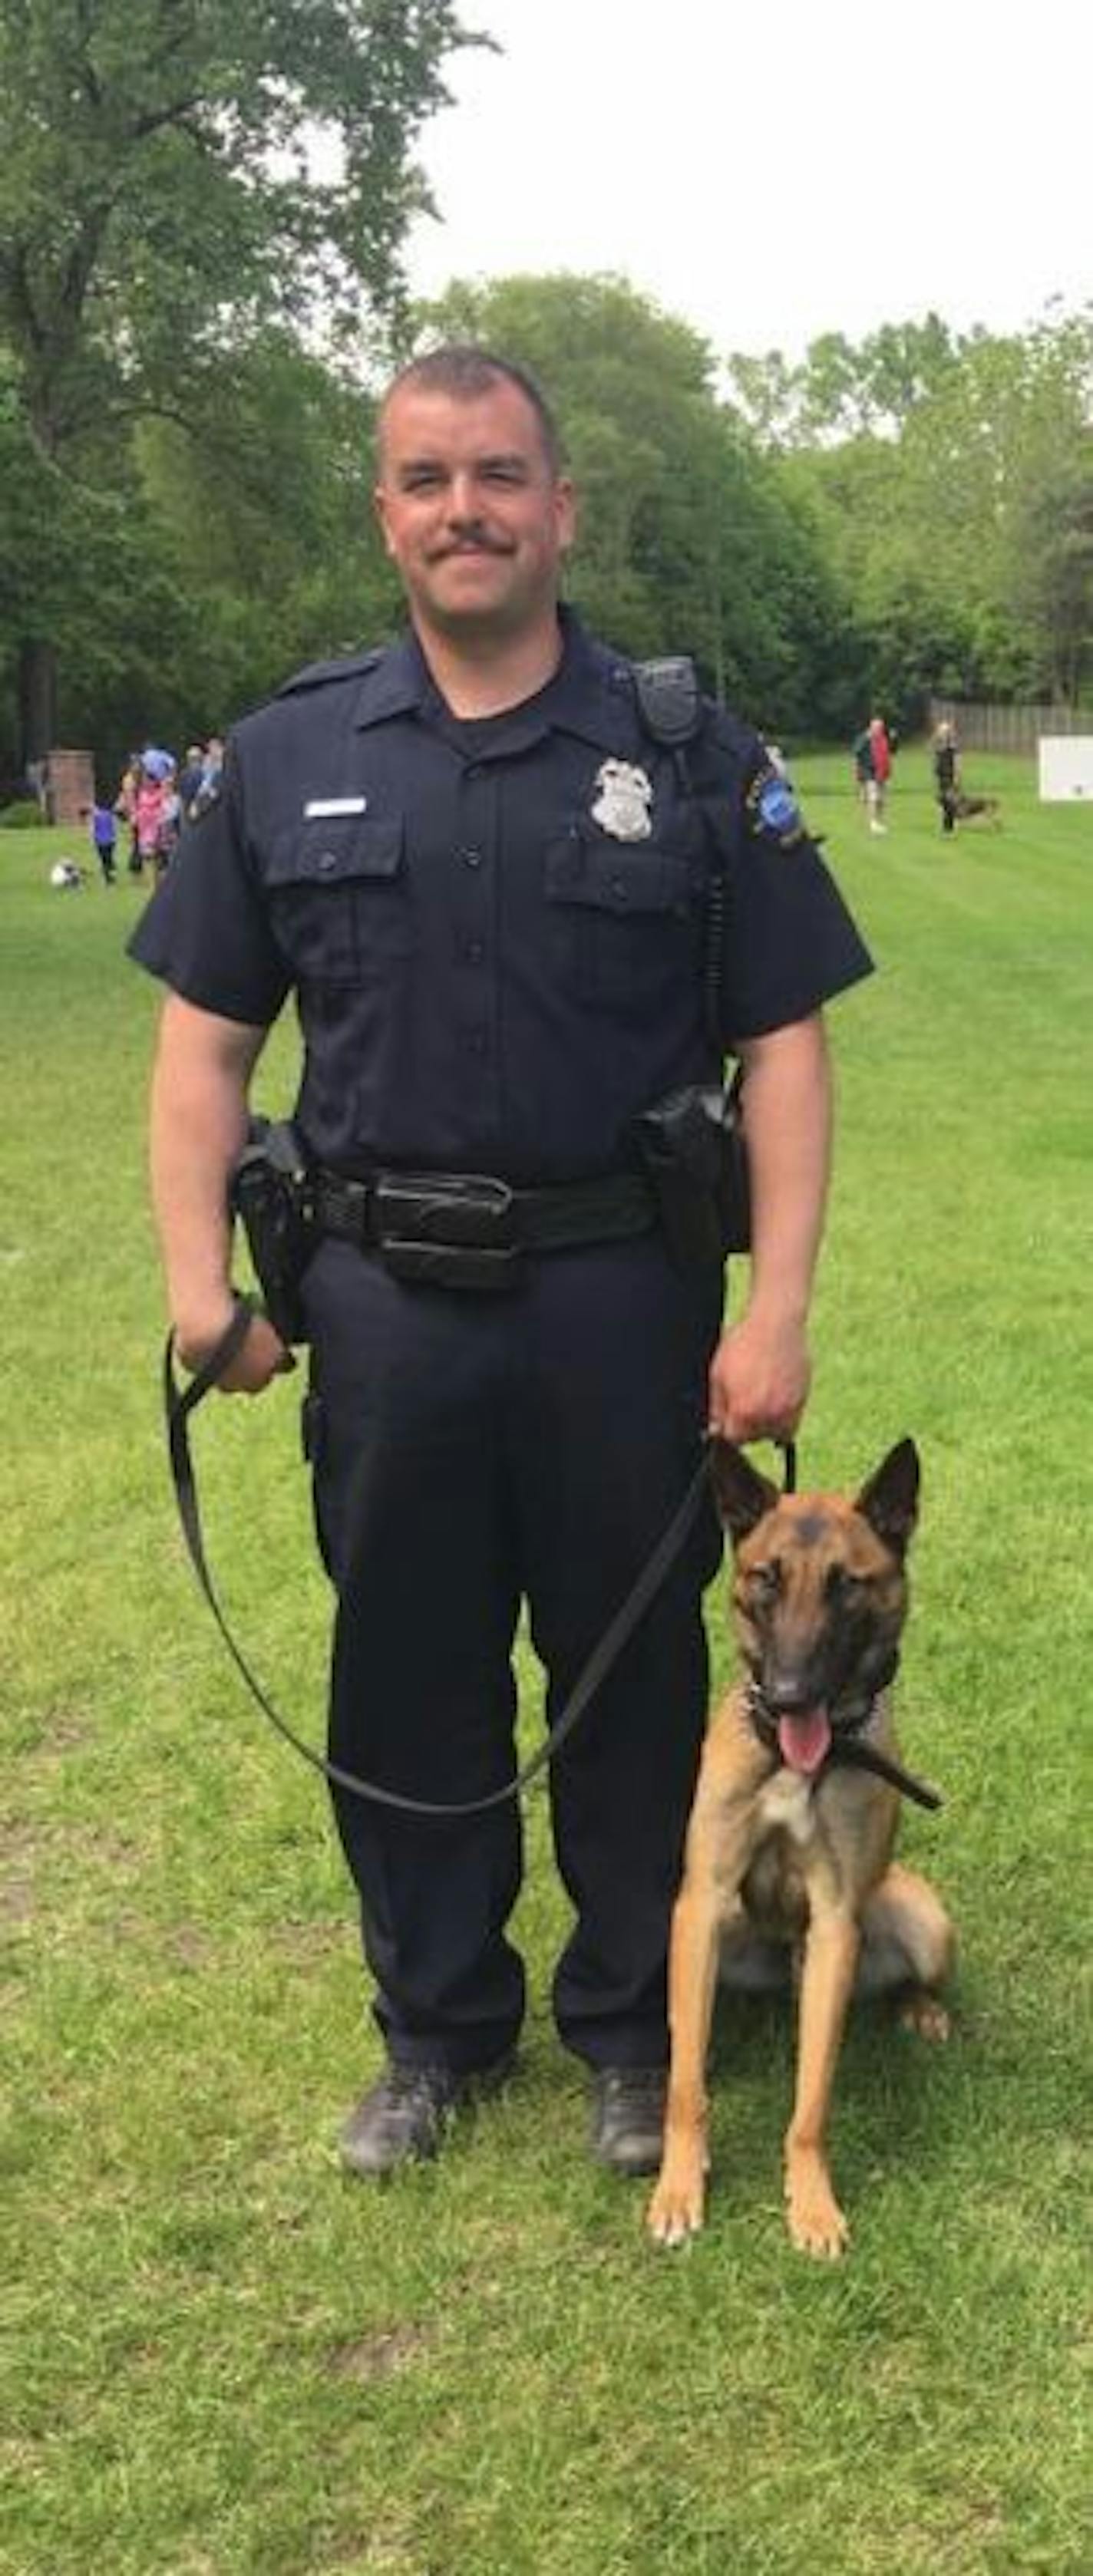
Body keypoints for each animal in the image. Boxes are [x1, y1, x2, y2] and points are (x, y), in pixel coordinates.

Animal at [644, 1442, 953, 2267]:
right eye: (766, 1578)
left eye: (847, 1585)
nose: (786, 1695)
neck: (793, 1760)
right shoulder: (701, 1901)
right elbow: (685, 2086)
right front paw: (677, 2186)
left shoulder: (838, 1921)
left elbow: (811, 2100)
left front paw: (812, 2204)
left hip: (923, 1921)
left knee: (904, 1983)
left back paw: (923, 2010)